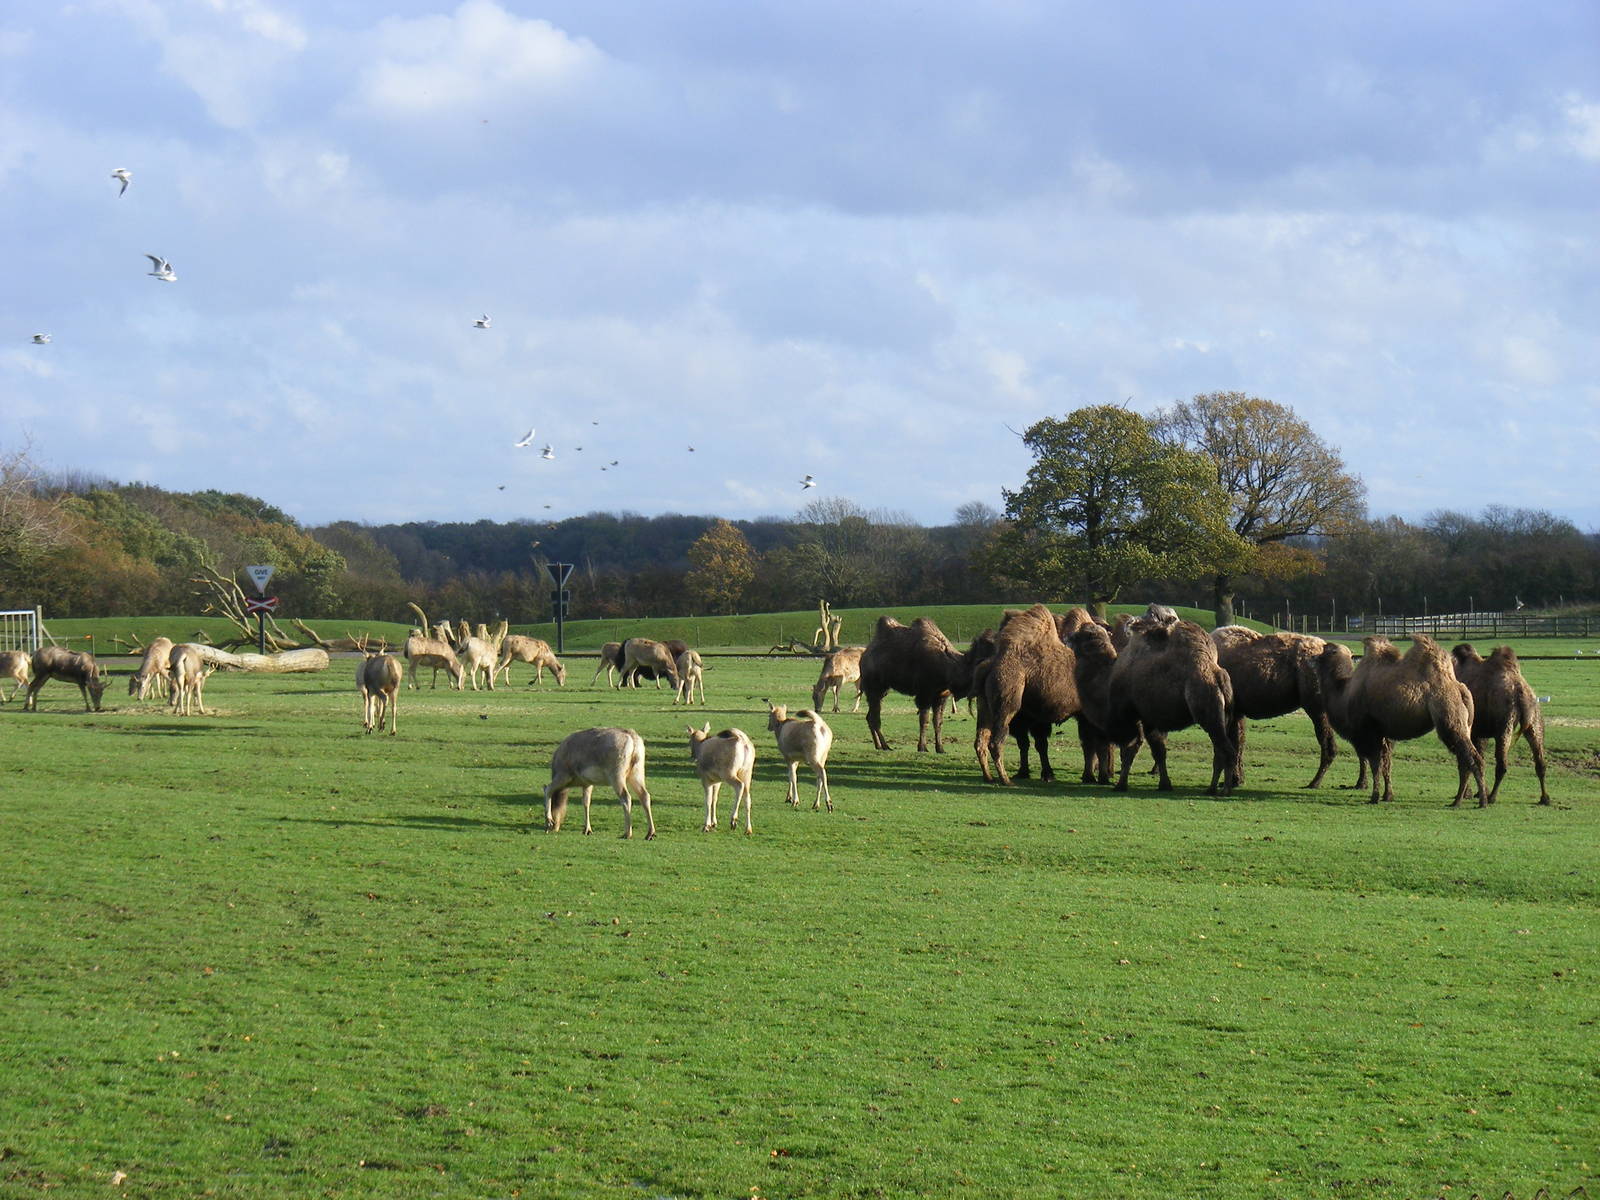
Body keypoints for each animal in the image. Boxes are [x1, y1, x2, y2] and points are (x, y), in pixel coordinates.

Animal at [1101, 618, 1238, 795]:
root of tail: (1218, 675)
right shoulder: (1149, 719)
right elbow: (1159, 751)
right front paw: (1165, 784)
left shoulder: (1137, 716)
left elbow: (1133, 749)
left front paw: (1120, 785)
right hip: (1223, 718)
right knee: (1219, 753)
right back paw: (1211, 789)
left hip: (1209, 717)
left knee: (1227, 751)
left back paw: (1225, 790)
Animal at [1314, 636, 1486, 807]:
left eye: (1326, 650)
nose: (1313, 656)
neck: (1344, 694)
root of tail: (1460, 688)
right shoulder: (1384, 733)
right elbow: (1386, 764)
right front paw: (1387, 796)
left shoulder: (1370, 732)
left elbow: (1376, 764)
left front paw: (1374, 797)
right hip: (1464, 726)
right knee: (1464, 760)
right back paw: (1458, 800)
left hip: (1449, 720)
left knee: (1472, 758)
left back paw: (1481, 801)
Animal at [1450, 644, 1550, 805]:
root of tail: (1521, 693)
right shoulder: (1480, 731)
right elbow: (1479, 756)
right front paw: (1477, 792)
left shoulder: (1472, 729)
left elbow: (1469, 759)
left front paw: (1469, 793)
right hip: (1534, 717)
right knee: (1540, 760)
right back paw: (1545, 798)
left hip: (1505, 721)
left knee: (1502, 764)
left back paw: (1492, 797)